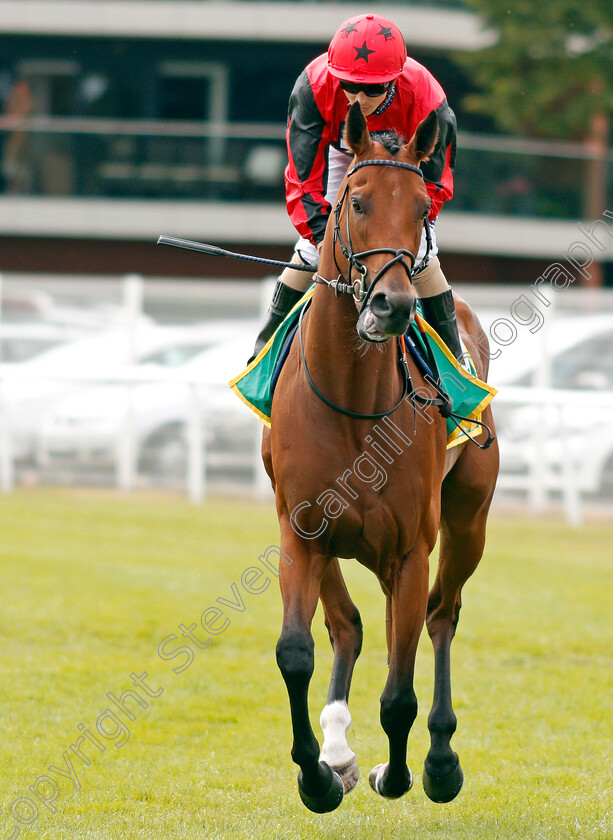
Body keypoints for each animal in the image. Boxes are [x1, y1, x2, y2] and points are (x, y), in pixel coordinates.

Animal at [262, 101, 498, 812]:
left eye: (422, 207)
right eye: (358, 201)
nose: (394, 305)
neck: (350, 402)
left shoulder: (411, 547)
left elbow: (400, 691)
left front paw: (397, 774)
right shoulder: (300, 530)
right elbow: (297, 652)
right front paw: (316, 775)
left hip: (467, 521)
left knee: (440, 617)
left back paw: (440, 759)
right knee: (350, 625)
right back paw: (337, 751)